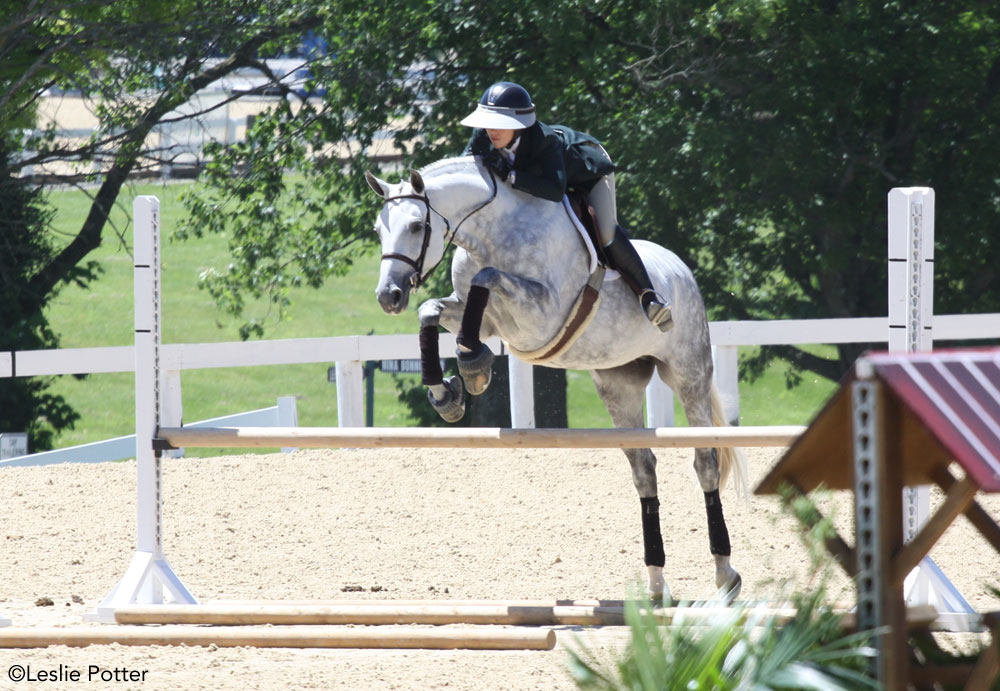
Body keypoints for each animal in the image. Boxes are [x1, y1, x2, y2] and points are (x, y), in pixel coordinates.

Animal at [372, 157, 748, 600]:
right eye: (378, 229)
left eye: (416, 226)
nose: (388, 296)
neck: (491, 234)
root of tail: (680, 268)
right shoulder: (484, 321)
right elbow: (432, 310)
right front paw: (449, 391)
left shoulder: (540, 314)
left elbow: (487, 277)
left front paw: (472, 368)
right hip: (618, 385)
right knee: (644, 470)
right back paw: (656, 584)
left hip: (688, 374)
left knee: (705, 461)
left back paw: (725, 575)